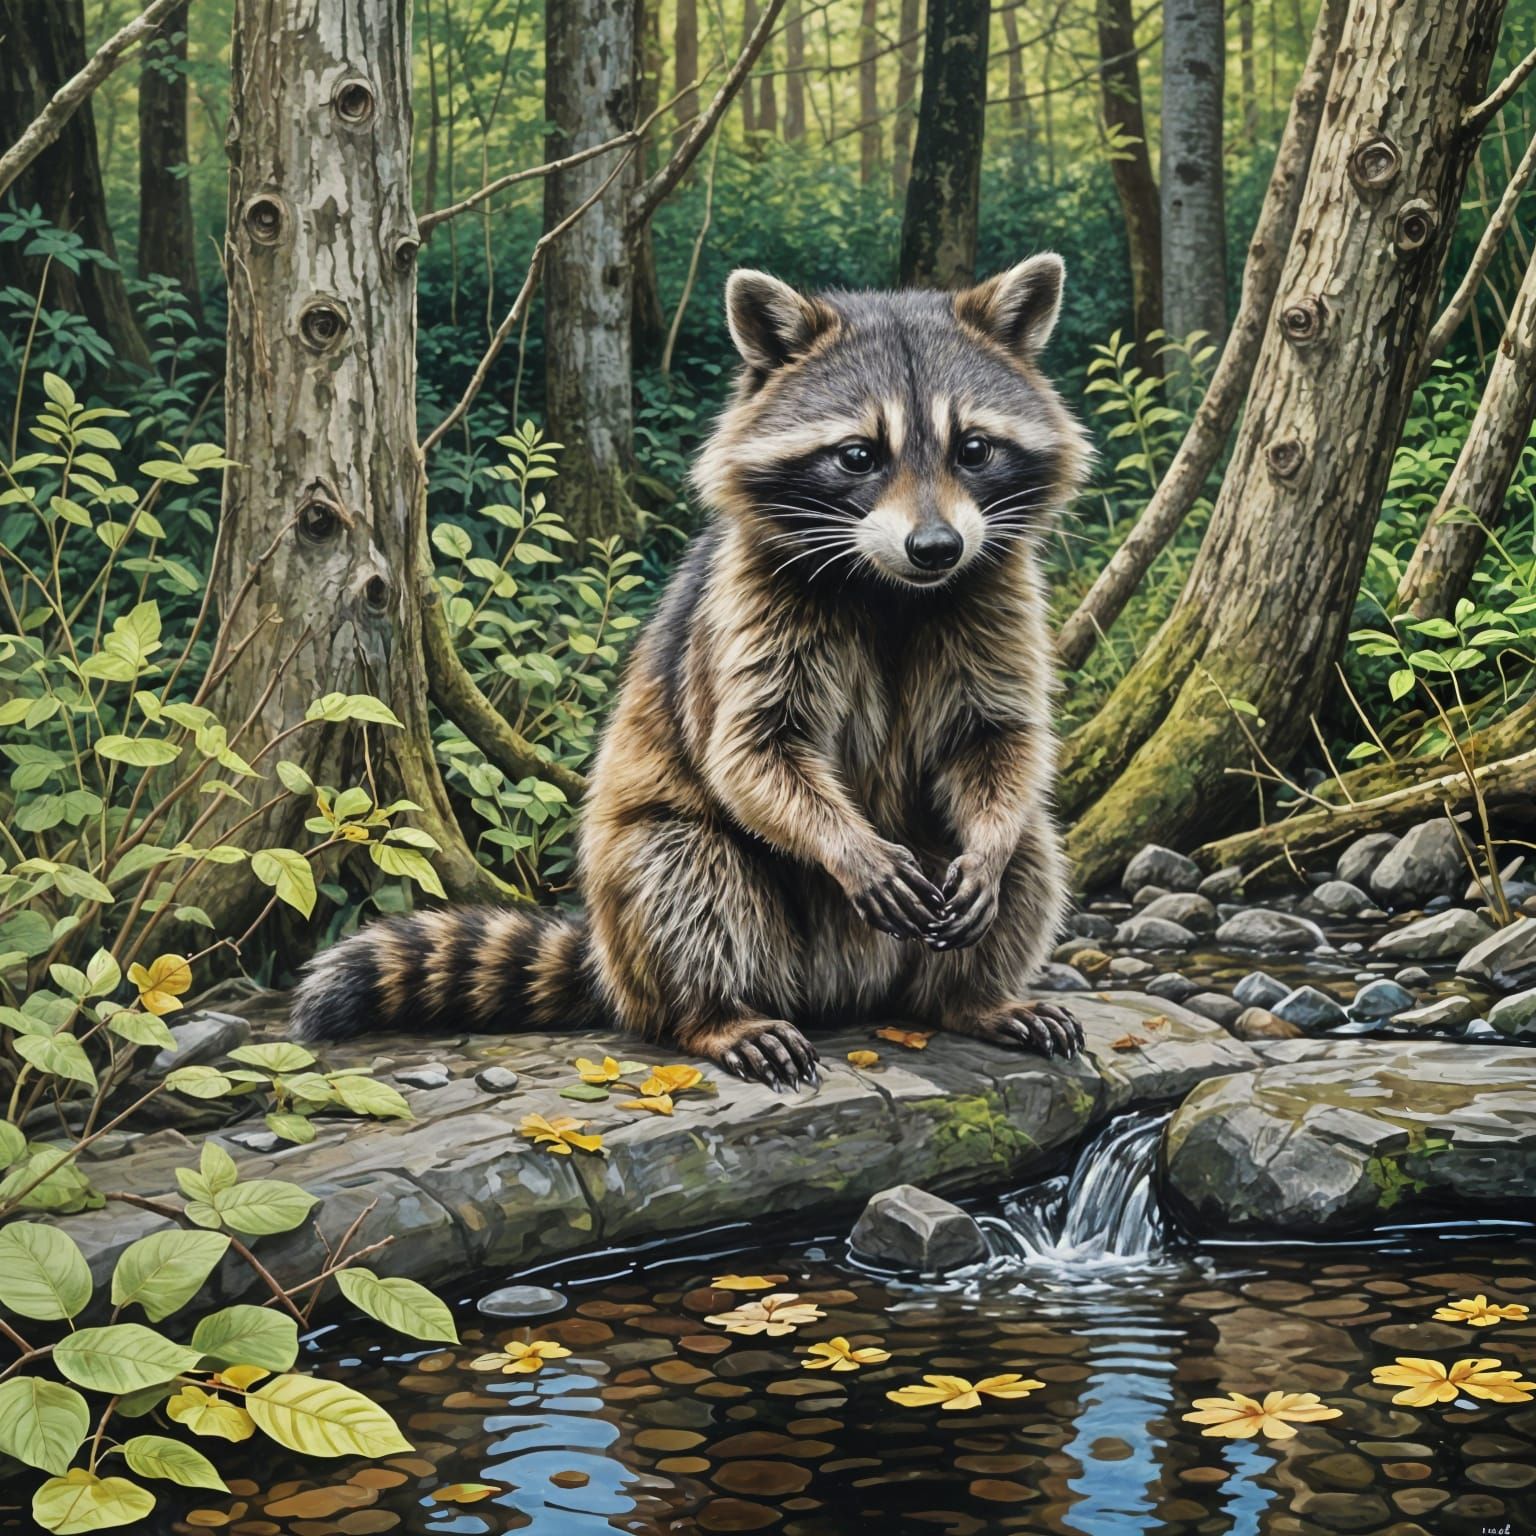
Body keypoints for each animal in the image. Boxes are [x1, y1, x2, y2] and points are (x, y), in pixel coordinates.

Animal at [291, 254, 1090, 1089]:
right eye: (859, 455)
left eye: (974, 448)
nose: (936, 547)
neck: (894, 589)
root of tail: (848, 991)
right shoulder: (745, 609)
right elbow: (754, 751)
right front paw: (848, 847)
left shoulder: (995, 597)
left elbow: (998, 739)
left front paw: (988, 848)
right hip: (677, 908)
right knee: (684, 872)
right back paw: (714, 1014)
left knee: (1034, 847)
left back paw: (974, 996)